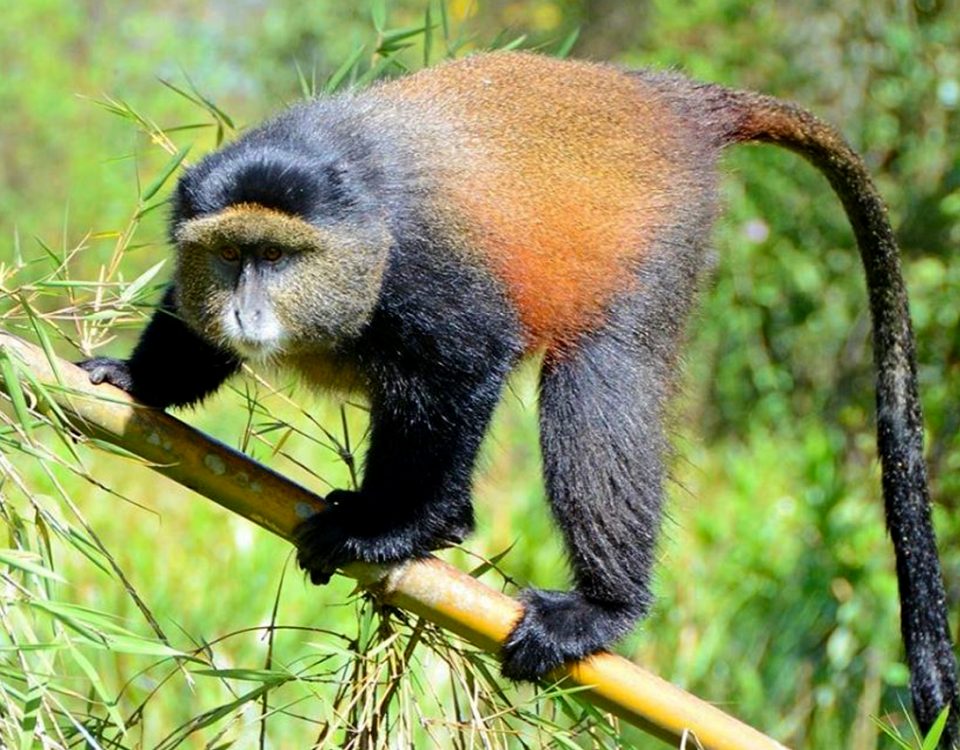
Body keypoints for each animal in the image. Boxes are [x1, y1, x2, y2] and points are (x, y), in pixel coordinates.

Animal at [78, 52, 958, 744]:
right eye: (232, 255)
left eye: (279, 256)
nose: (246, 310)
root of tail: (673, 99)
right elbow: (189, 331)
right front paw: (134, 381)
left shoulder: (428, 271)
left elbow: (464, 367)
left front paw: (401, 531)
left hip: (652, 239)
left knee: (598, 378)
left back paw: (599, 606)